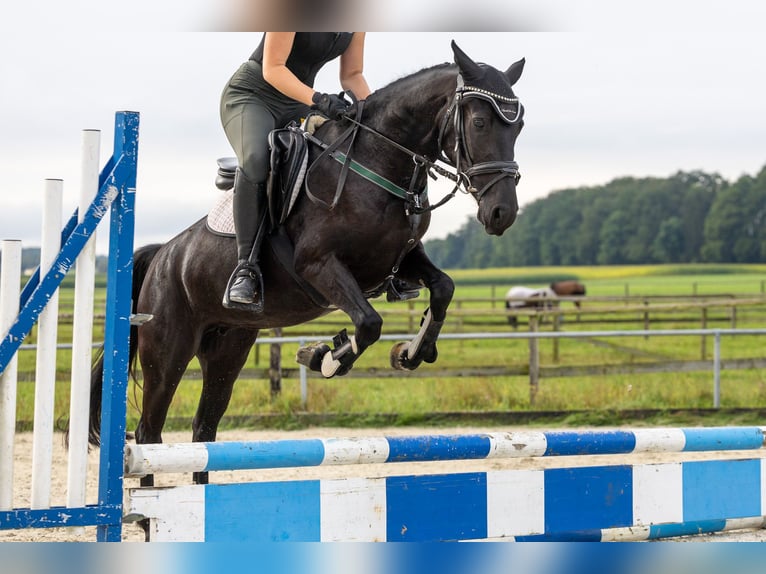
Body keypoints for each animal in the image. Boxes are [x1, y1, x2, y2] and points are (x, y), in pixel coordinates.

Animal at [84, 39, 528, 486]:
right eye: (479, 122)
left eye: (519, 126)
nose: (502, 213)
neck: (377, 163)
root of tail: (162, 255)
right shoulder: (318, 266)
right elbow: (369, 324)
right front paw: (322, 357)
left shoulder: (401, 260)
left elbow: (443, 288)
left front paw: (411, 351)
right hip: (168, 351)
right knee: (149, 433)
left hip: (227, 350)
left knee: (203, 430)